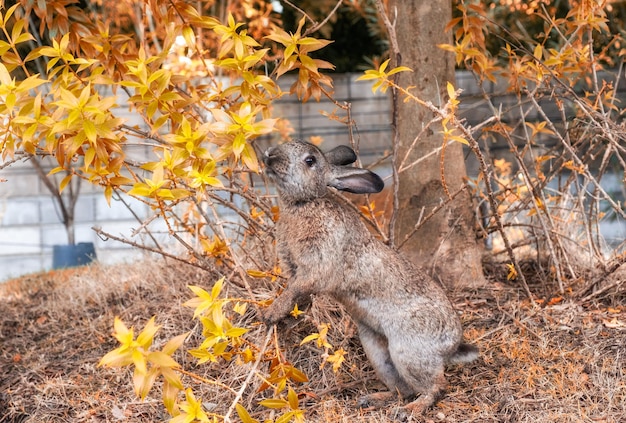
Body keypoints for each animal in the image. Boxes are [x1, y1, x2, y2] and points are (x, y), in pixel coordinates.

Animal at [260, 141, 476, 416]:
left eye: (310, 161)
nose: (269, 156)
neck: (304, 203)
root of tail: (452, 346)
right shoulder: (295, 266)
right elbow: (298, 294)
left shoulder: (316, 266)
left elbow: (296, 289)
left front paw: (271, 314)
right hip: (378, 353)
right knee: (402, 389)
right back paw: (372, 399)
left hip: (409, 352)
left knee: (435, 387)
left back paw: (410, 410)